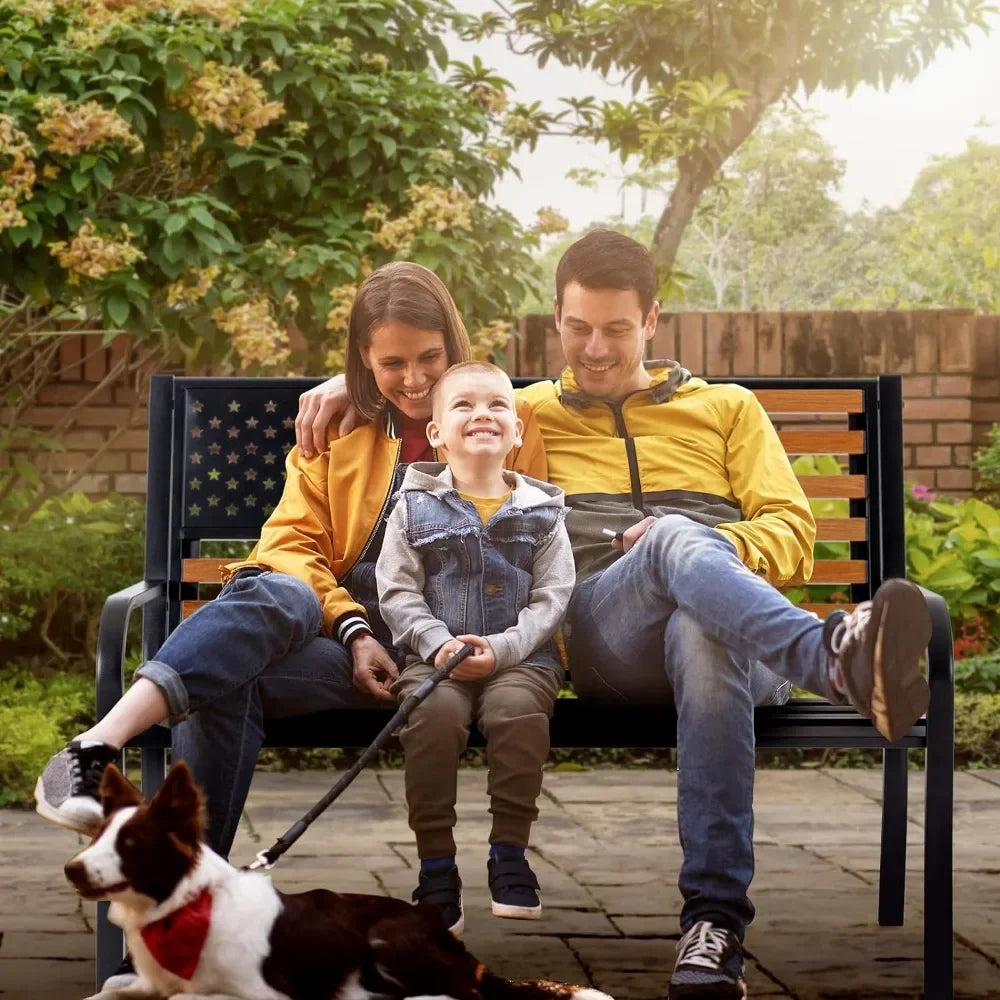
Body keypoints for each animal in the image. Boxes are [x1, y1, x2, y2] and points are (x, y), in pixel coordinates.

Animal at [64, 760, 616, 996]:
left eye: (131, 844)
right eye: (96, 838)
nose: (72, 869)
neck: (185, 906)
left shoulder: (265, 994)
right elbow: (114, 993)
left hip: (386, 937)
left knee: (461, 996)